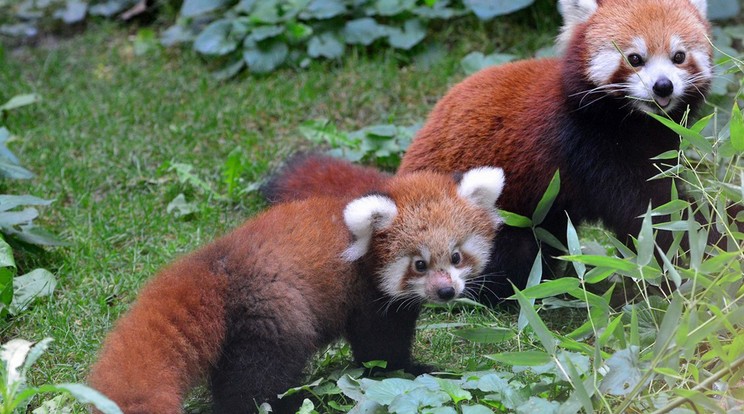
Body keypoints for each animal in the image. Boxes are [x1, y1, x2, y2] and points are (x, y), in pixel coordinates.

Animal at [87, 167, 506, 414]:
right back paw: (291, 402)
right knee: (257, 378)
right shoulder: (368, 299)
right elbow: (381, 351)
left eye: (456, 256)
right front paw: (412, 370)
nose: (446, 291)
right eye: (419, 264)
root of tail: (218, 259)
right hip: (275, 308)